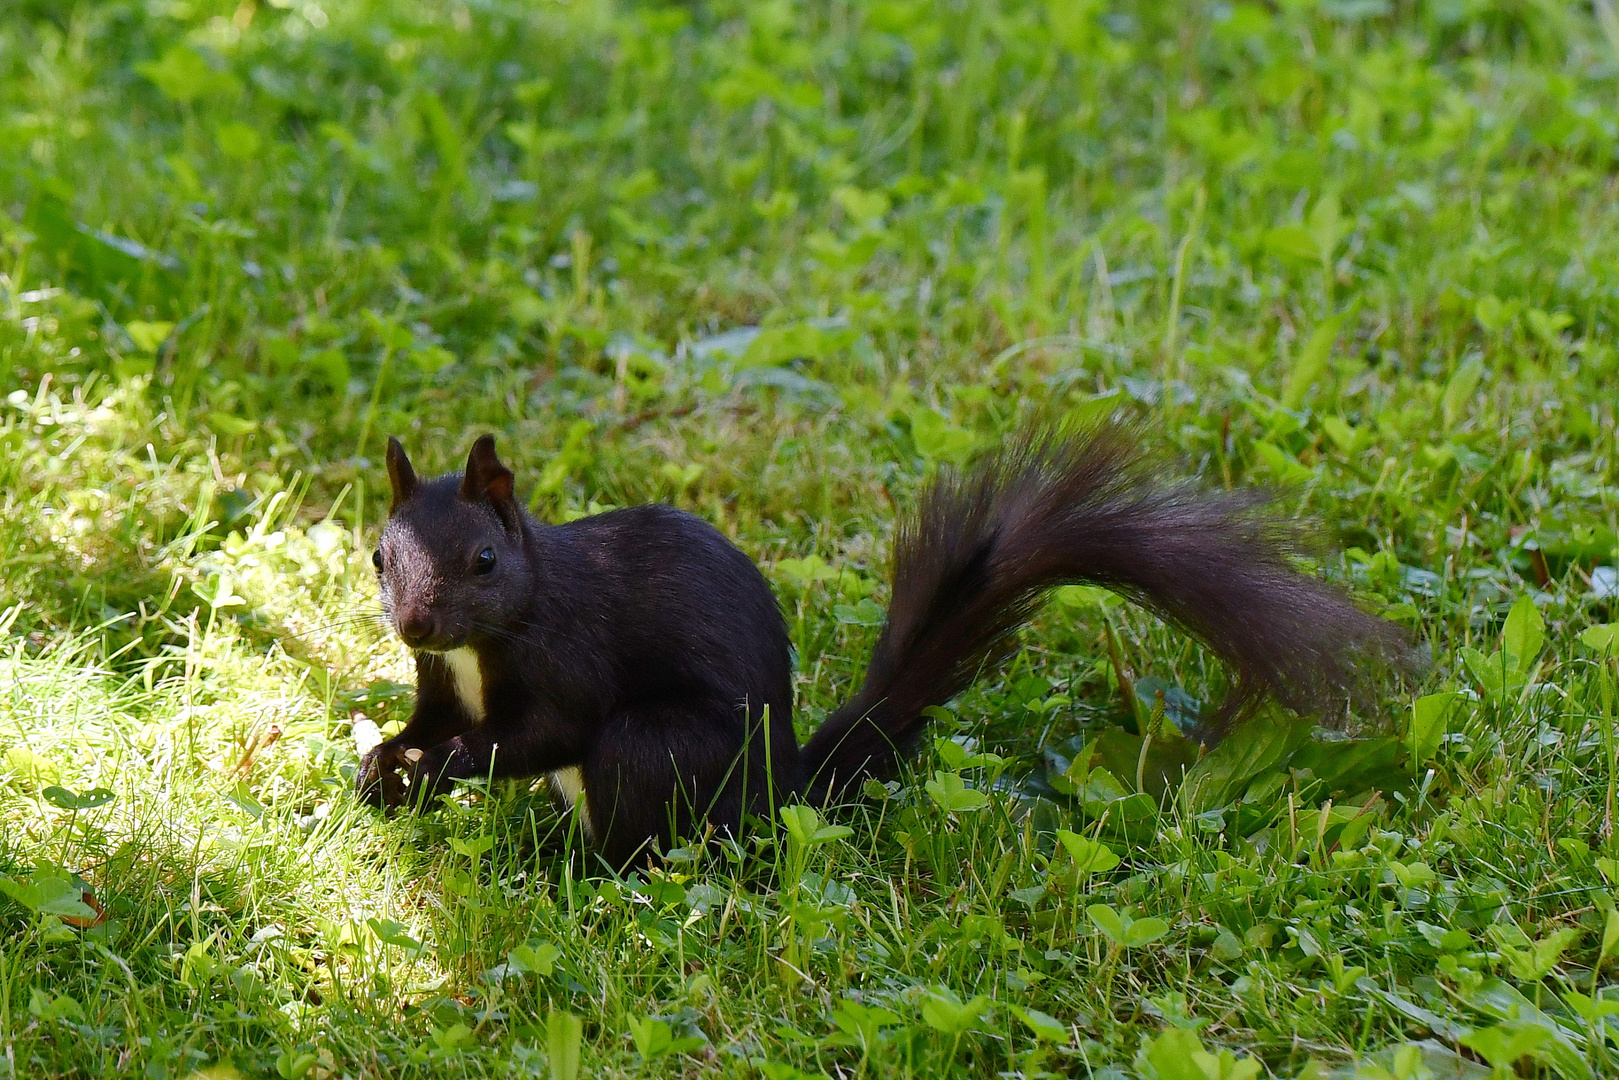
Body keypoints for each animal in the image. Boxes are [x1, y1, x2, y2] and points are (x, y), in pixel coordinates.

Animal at [354, 424, 1405, 867]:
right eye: (377, 555)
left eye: (486, 559)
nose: (414, 624)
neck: (487, 641)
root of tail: (781, 793)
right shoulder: (439, 680)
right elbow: (426, 720)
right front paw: (382, 765)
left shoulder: (569, 659)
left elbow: (543, 733)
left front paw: (440, 768)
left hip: (656, 751)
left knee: (632, 826)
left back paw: (571, 870)